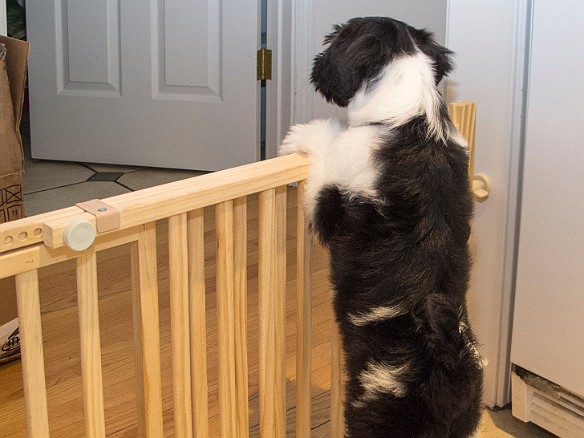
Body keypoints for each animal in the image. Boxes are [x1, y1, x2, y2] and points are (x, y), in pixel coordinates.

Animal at [278, 17, 484, 438]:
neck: (413, 118)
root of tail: (450, 370)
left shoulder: (333, 198)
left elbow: (327, 148)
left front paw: (303, 134)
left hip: (376, 410)